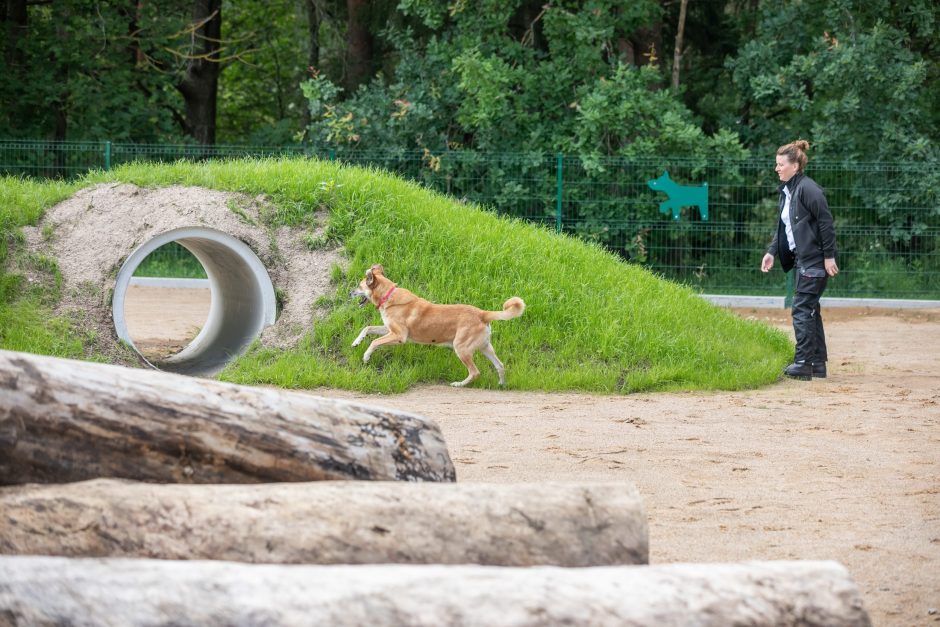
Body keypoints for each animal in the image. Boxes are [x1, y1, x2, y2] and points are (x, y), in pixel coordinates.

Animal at [352, 262, 528, 386]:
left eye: (359, 286)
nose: (350, 293)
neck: (388, 296)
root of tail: (482, 314)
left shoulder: (399, 336)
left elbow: (374, 342)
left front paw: (366, 356)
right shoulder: (389, 330)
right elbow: (367, 328)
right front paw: (356, 342)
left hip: (461, 348)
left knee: (475, 372)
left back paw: (459, 384)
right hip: (485, 347)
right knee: (500, 365)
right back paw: (501, 384)